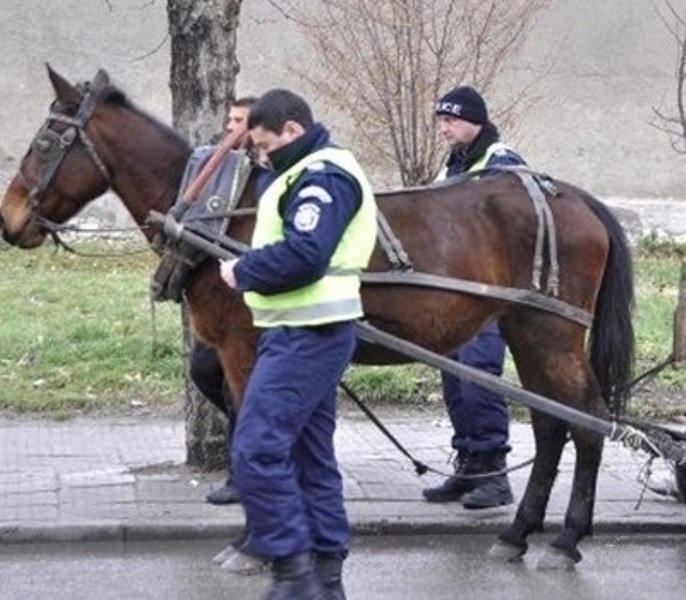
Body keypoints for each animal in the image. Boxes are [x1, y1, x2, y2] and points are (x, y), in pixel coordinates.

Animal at [0, 68, 640, 568]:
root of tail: (570, 195)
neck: (219, 214)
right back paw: (518, 532)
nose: (9, 219)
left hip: (552, 332)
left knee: (586, 423)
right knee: (552, 425)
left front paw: (255, 542)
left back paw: (566, 538)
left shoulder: (244, 349)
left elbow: (254, 429)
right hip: (526, 331)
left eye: (46, 141)